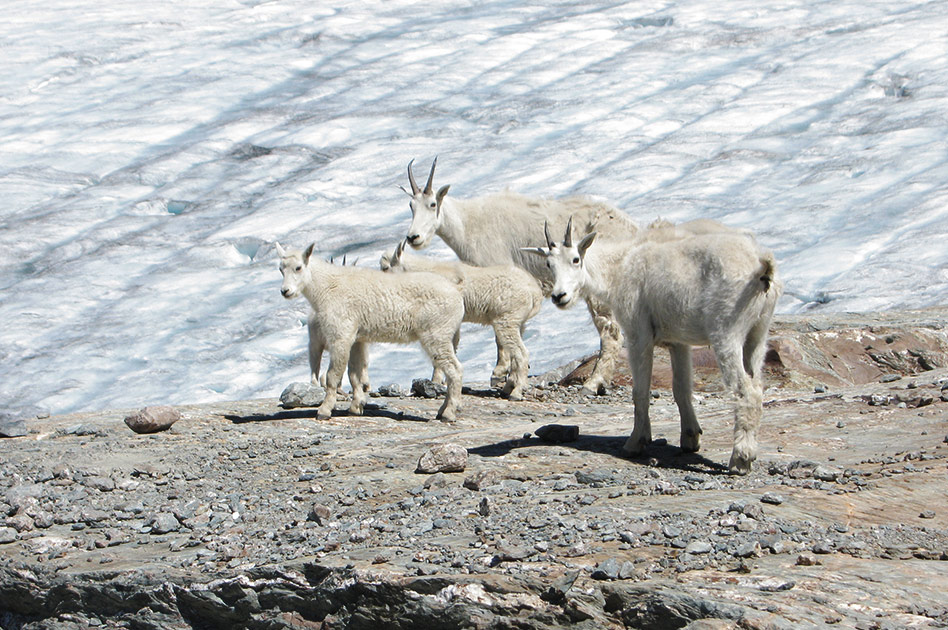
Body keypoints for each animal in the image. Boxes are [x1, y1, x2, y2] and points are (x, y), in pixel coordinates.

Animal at [276, 244, 464, 422]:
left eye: (298, 267)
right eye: (280, 269)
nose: (285, 291)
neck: (326, 287)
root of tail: (458, 296)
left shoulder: (341, 336)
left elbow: (333, 375)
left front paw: (324, 411)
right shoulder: (356, 339)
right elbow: (354, 373)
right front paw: (355, 407)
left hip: (436, 334)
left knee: (454, 369)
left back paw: (448, 413)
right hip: (447, 336)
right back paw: (442, 411)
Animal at [378, 241, 540, 400]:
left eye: (385, 267)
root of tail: (534, 292)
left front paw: (435, 381)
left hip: (506, 321)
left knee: (521, 353)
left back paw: (516, 392)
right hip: (518, 323)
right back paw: (508, 387)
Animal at [400, 157, 636, 398]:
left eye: (432, 204)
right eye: (411, 206)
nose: (413, 237)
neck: (467, 224)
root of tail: (632, 228)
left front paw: (500, 373)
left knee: (611, 333)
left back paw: (592, 382)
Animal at [524, 220, 776, 472]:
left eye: (576, 259)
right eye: (549, 264)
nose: (559, 296)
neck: (618, 266)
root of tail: (761, 265)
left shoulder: (638, 333)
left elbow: (640, 390)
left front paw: (636, 441)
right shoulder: (678, 341)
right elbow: (681, 388)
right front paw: (690, 439)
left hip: (727, 332)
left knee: (746, 390)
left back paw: (741, 458)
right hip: (758, 332)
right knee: (757, 382)